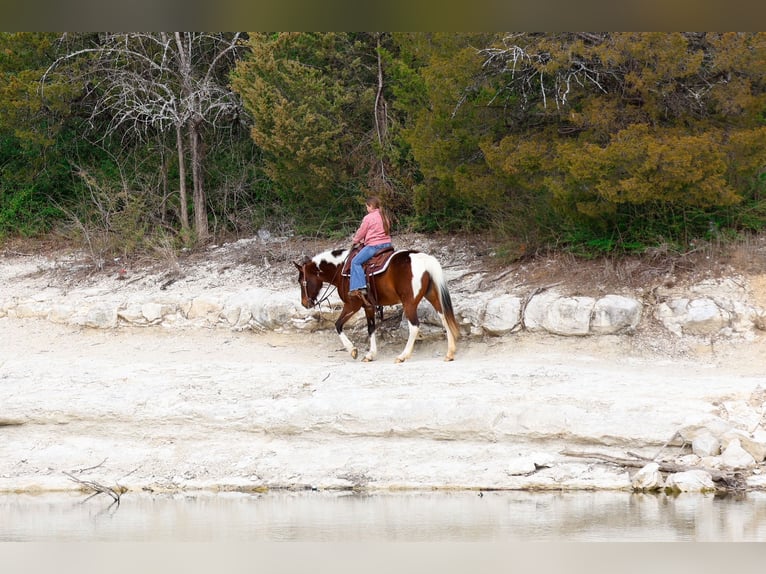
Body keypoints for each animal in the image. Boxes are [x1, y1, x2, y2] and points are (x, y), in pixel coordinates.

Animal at [294, 247, 459, 363]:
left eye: (301, 281)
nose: (304, 303)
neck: (341, 269)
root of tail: (424, 259)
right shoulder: (369, 306)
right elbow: (371, 328)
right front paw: (370, 354)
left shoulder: (352, 304)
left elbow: (338, 325)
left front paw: (352, 350)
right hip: (432, 297)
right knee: (444, 318)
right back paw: (450, 353)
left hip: (409, 303)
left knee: (414, 326)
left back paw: (403, 356)